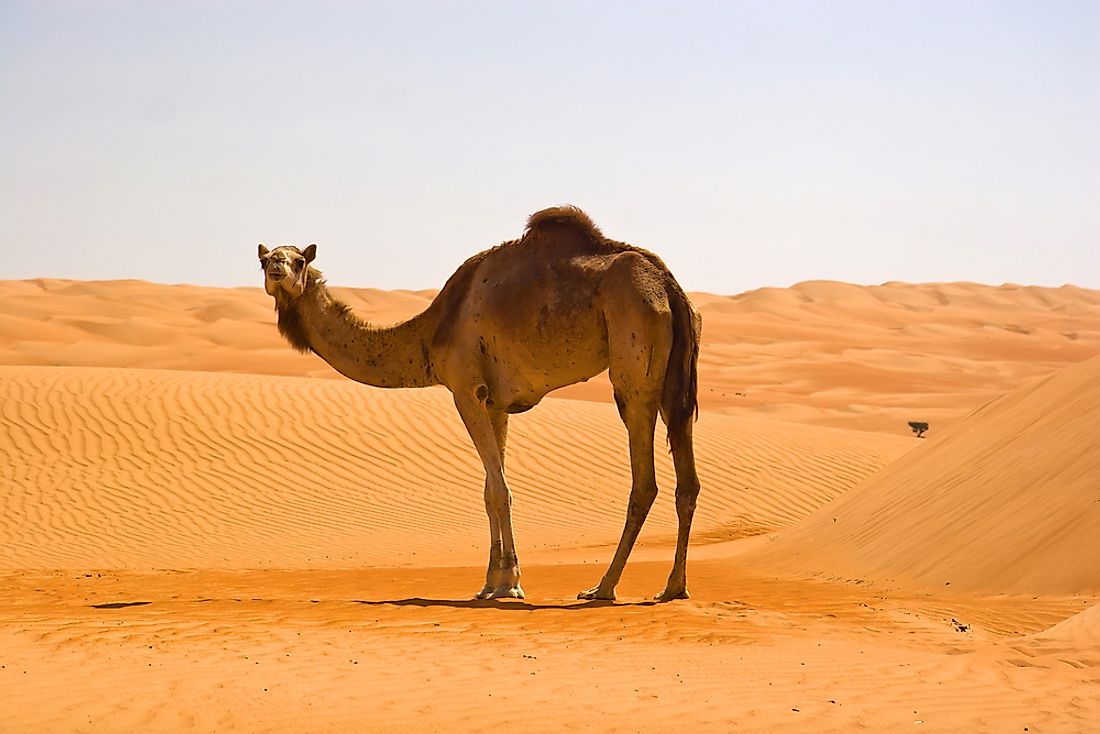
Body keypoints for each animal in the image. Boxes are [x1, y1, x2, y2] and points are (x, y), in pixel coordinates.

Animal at [257, 206, 699, 603]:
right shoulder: (496, 403)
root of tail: (668, 285)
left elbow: (500, 489)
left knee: (644, 479)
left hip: (634, 357)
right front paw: (492, 582)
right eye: (264, 258)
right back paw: (673, 587)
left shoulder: (465, 388)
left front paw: (511, 585)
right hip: (675, 377)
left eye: (299, 260)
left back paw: (602, 587)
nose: (277, 268)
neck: (432, 331)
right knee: (687, 477)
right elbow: (490, 489)